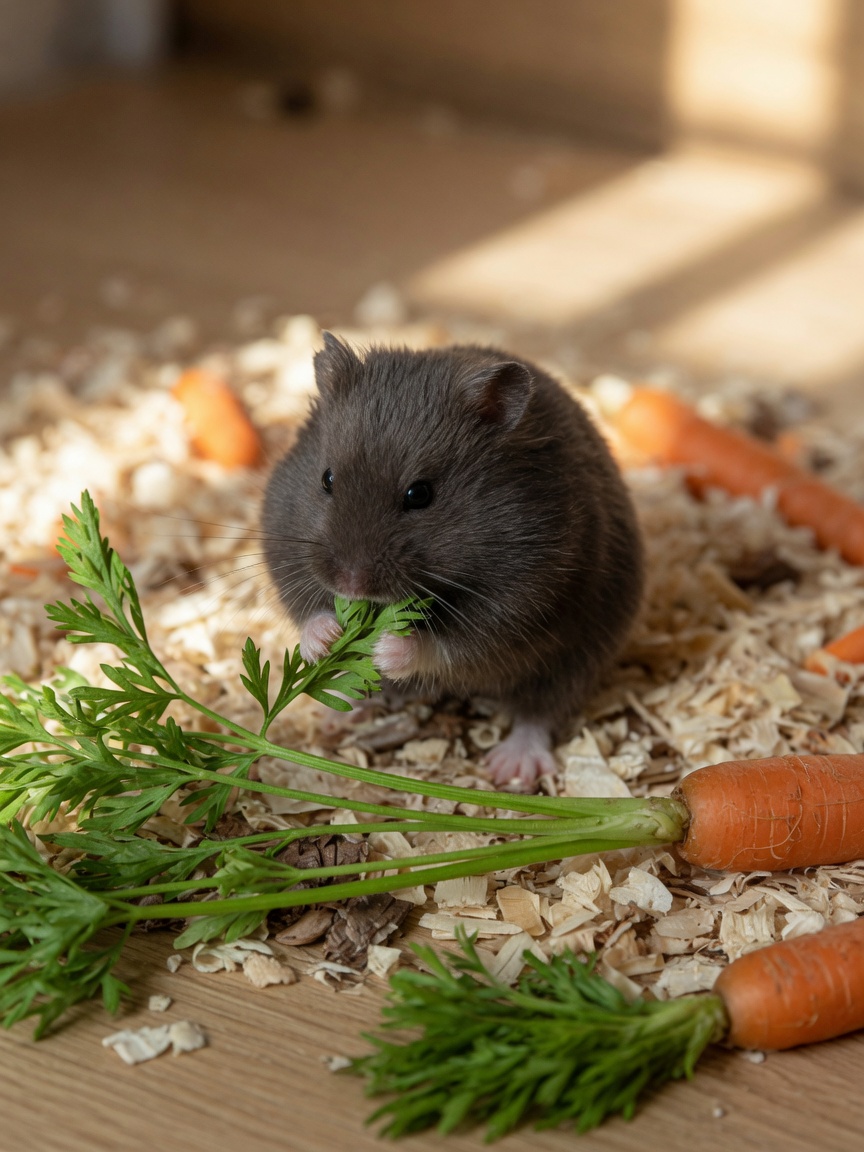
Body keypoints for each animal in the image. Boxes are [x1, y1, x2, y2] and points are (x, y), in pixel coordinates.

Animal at [261, 334, 643, 789]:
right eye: (327, 479)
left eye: (419, 494)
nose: (350, 584)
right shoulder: (284, 552)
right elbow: (307, 612)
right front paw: (328, 637)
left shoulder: (520, 598)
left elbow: (446, 646)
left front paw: (385, 650)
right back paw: (335, 716)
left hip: (576, 659)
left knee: (539, 711)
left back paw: (510, 769)